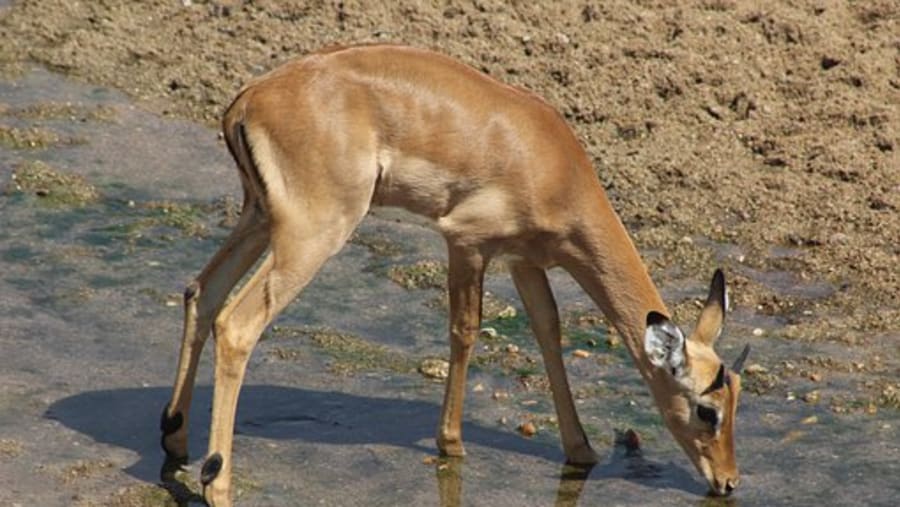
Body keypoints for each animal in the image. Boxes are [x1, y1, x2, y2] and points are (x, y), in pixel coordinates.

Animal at [159, 44, 751, 506]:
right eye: (707, 410)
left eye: (738, 398)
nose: (728, 482)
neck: (548, 160)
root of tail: (248, 99)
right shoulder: (467, 243)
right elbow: (465, 332)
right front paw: (452, 443)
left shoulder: (524, 260)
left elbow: (549, 334)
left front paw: (581, 450)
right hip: (311, 235)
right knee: (237, 324)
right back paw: (218, 483)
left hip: (259, 218)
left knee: (201, 293)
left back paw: (175, 441)